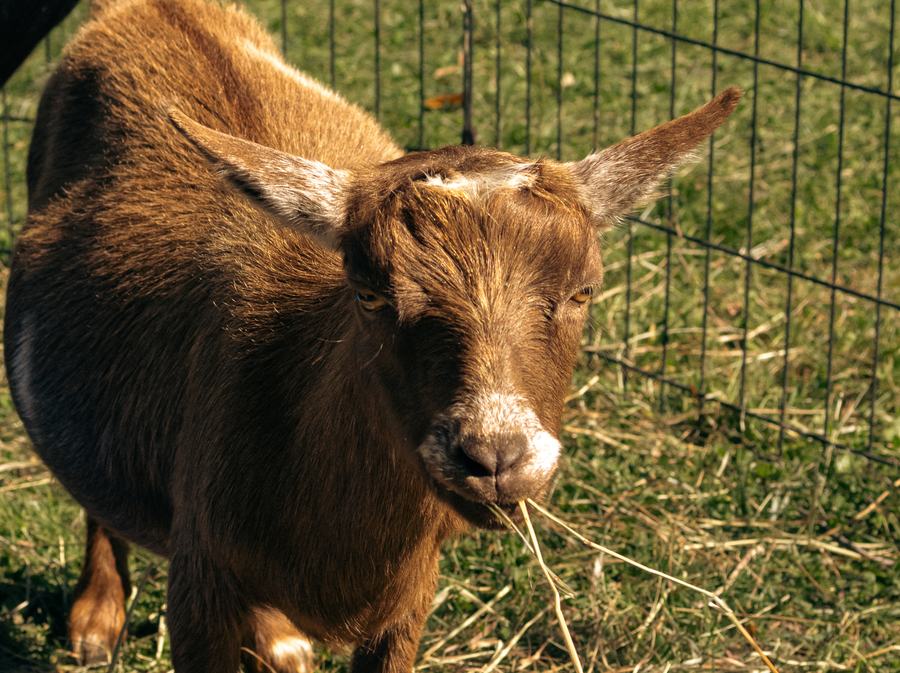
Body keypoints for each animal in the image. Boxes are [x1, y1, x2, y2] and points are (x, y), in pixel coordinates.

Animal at [3, 0, 739, 670]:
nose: (495, 458)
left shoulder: (409, 601)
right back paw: (97, 618)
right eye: (369, 292)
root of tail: (149, 6)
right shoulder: (200, 576)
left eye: (584, 290)